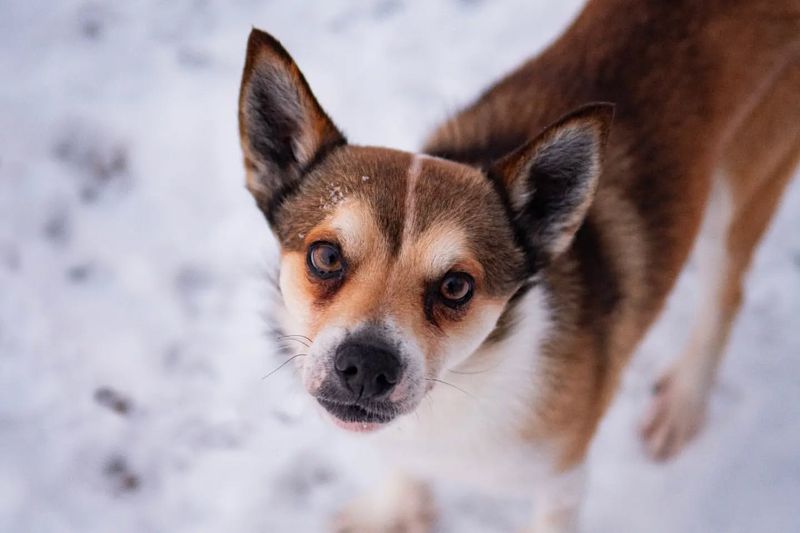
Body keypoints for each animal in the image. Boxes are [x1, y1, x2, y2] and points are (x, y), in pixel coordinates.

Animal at [238, 2, 800, 528]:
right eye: (326, 256)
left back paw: (682, 405)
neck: (455, 392)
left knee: (726, 294)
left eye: (457, 286)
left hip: (740, 192)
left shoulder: (561, 480)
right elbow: (403, 465)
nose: (367, 367)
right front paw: (397, 510)